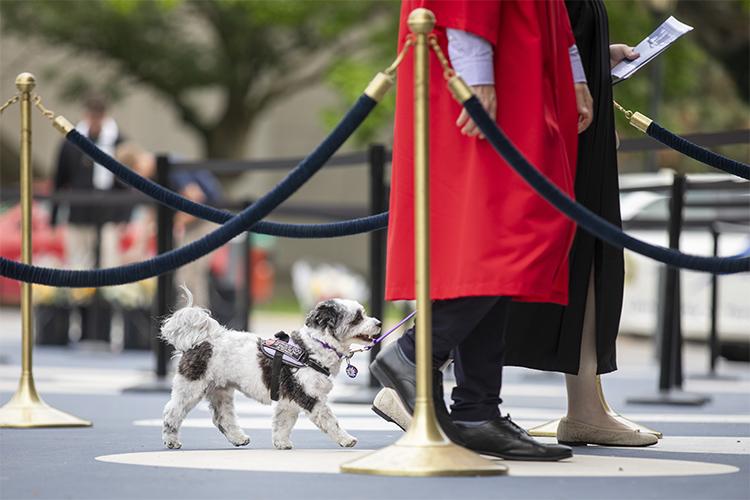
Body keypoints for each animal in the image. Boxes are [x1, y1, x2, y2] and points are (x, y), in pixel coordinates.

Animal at [159, 288, 382, 452]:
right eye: (358, 318)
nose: (379, 323)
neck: (315, 348)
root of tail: (201, 340)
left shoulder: (288, 399)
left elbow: (282, 422)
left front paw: (281, 443)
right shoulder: (309, 396)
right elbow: (330, 421)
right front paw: (346, 439)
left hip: (220, 390)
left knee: (222, 418)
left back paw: (238, 438)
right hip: (191, 387)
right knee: (173, 412)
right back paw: (171, 440)